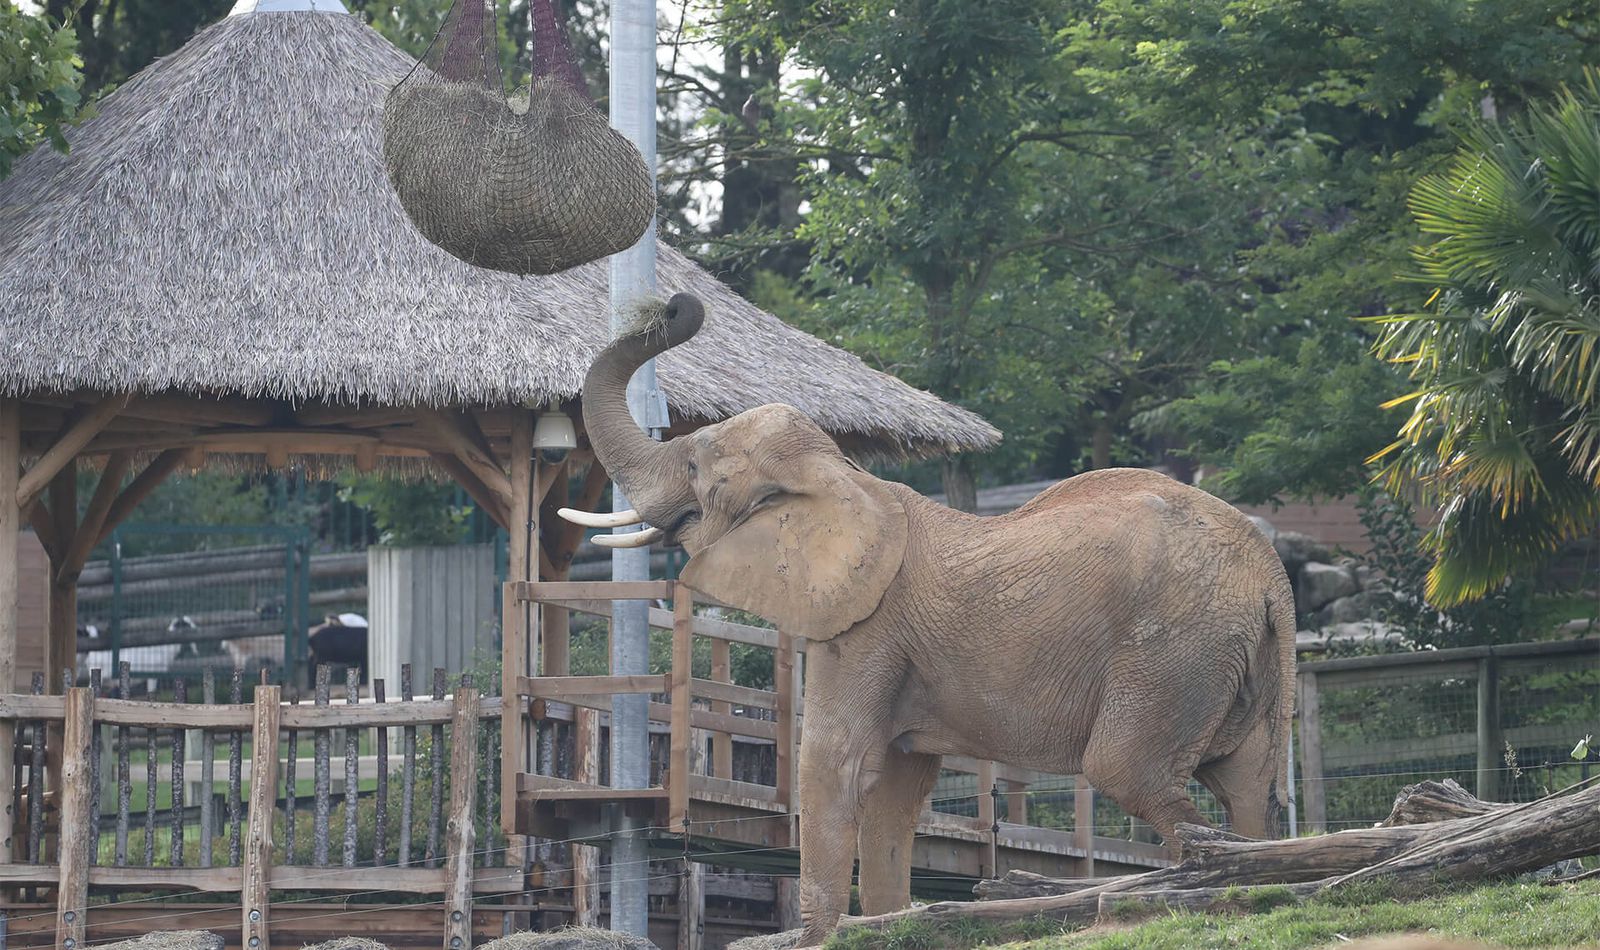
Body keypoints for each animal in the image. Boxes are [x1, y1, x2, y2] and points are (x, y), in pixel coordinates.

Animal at [559, 293, 1297, 943]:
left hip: (1173, 649)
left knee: (1130, 772)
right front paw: (884, 926)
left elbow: (835, 763)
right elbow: (894, 788)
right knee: (1246, 788)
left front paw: (818, 939)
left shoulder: (866, 626)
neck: (843, 476)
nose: (675, 304)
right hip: (1234, 657)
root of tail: (1273, 577)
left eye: (695, 467)